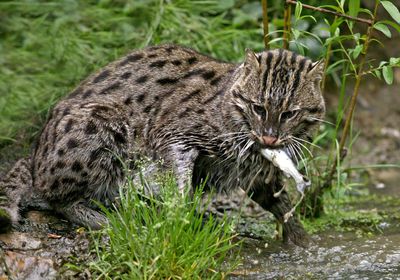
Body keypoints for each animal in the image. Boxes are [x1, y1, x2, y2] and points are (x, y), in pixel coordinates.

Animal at [0, 45, 324, 245]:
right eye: (258, 108)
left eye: (290, 114)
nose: (270, 138)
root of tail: (33, 155)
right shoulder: (172, 132)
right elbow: (180, 176)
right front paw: (178, 211)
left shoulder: (256, 173)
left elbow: (280, 204)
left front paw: (302, 241)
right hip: (103, 124)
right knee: (58, 197)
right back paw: (106, 219)